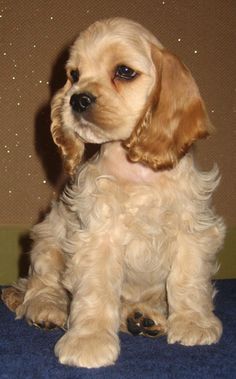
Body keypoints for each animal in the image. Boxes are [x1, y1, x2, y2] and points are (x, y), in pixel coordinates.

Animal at [2, 17, 226, 368]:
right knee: (40, 285)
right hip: (48, 239)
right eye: (74, 75)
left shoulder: (192, 228)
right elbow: (96, 291)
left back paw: (145, 318)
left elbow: (187, 280)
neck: (140, 171)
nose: (76, 99)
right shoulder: (98, 234)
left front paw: (193, 323)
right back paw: (48, 309)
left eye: (124, 71)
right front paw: (89, 341)